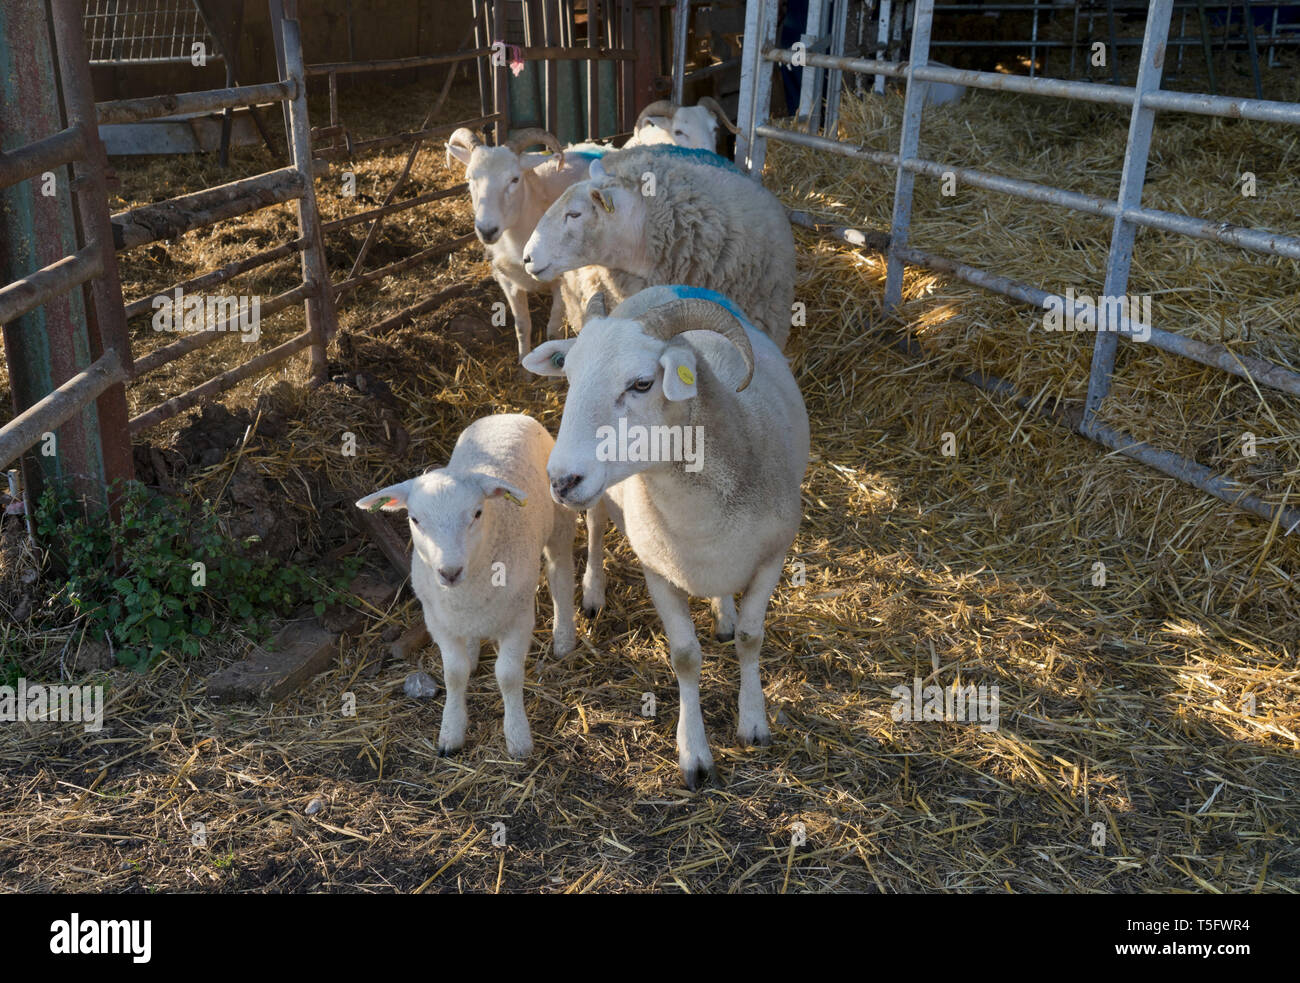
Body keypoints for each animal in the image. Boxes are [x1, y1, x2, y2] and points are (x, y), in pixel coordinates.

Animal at [355, 413, 577, 758]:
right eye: (414, 519)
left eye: (477, 513)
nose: (449, 572)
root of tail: (506, 415)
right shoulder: (438, 621)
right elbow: (454, 674)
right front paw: (451, 731)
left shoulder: (519, 619)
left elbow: (508, 675)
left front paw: (518, 738)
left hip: (560, 520)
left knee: (560, 573)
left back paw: (564, 638)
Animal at [445, 127, 609, 359]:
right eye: (469, 178)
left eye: (515, 179)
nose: (487, 230)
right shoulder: (507, 280)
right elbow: (522, 326)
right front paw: (523, 364)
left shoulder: (561, 281)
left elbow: (553, 330)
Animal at [521, 285, 810, 788]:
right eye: (569, 377)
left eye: (641, 383)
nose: (561, 480)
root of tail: (662, 285)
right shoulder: (657, 571)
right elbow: (685, 657)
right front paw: (694, 753)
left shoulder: (772, 556)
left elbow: (751, 638)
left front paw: (753, 722)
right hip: (602, 497)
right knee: (595, 527)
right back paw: (593, 591)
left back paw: (722, 612)